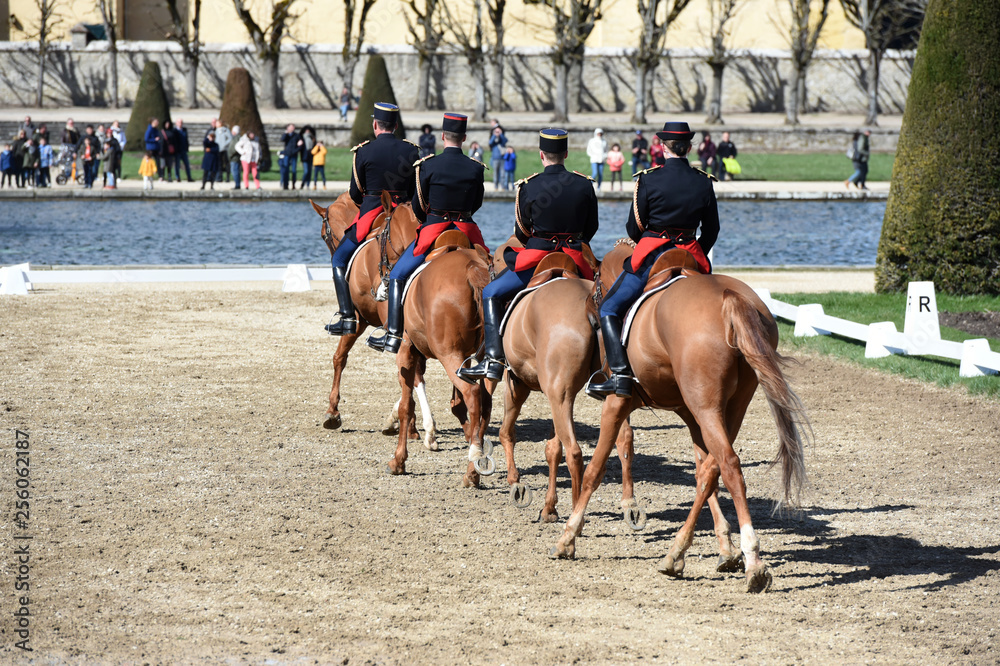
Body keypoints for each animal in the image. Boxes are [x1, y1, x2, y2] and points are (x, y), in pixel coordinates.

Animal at [312, 195, 438, 448]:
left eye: (323, 235)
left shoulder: (356, 321)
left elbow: (339, 358)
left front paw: (332, 412)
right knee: (415, 371)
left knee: (413, 373)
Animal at [390, 245, 500, 488]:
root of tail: (471, 267)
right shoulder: (467, 359)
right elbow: (455, 403)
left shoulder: (406, 351)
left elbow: (406, 405)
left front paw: (399, 460)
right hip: (487, 362)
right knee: (485, 403)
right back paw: (473, 468)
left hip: (448, 354)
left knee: (473, 394)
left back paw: (474, 460)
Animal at [552, 240, 808, 592]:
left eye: (598, 286)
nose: (591, 314)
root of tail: (729, 297)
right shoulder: (689, 414)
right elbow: (704, 472)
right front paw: (726, 549)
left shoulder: (617, 404)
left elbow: (595, 469)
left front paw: (569, 536)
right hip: (729, 406)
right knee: (716, 468)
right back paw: (679, 553)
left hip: (707, 408)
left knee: (729, 464)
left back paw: (751, 562)